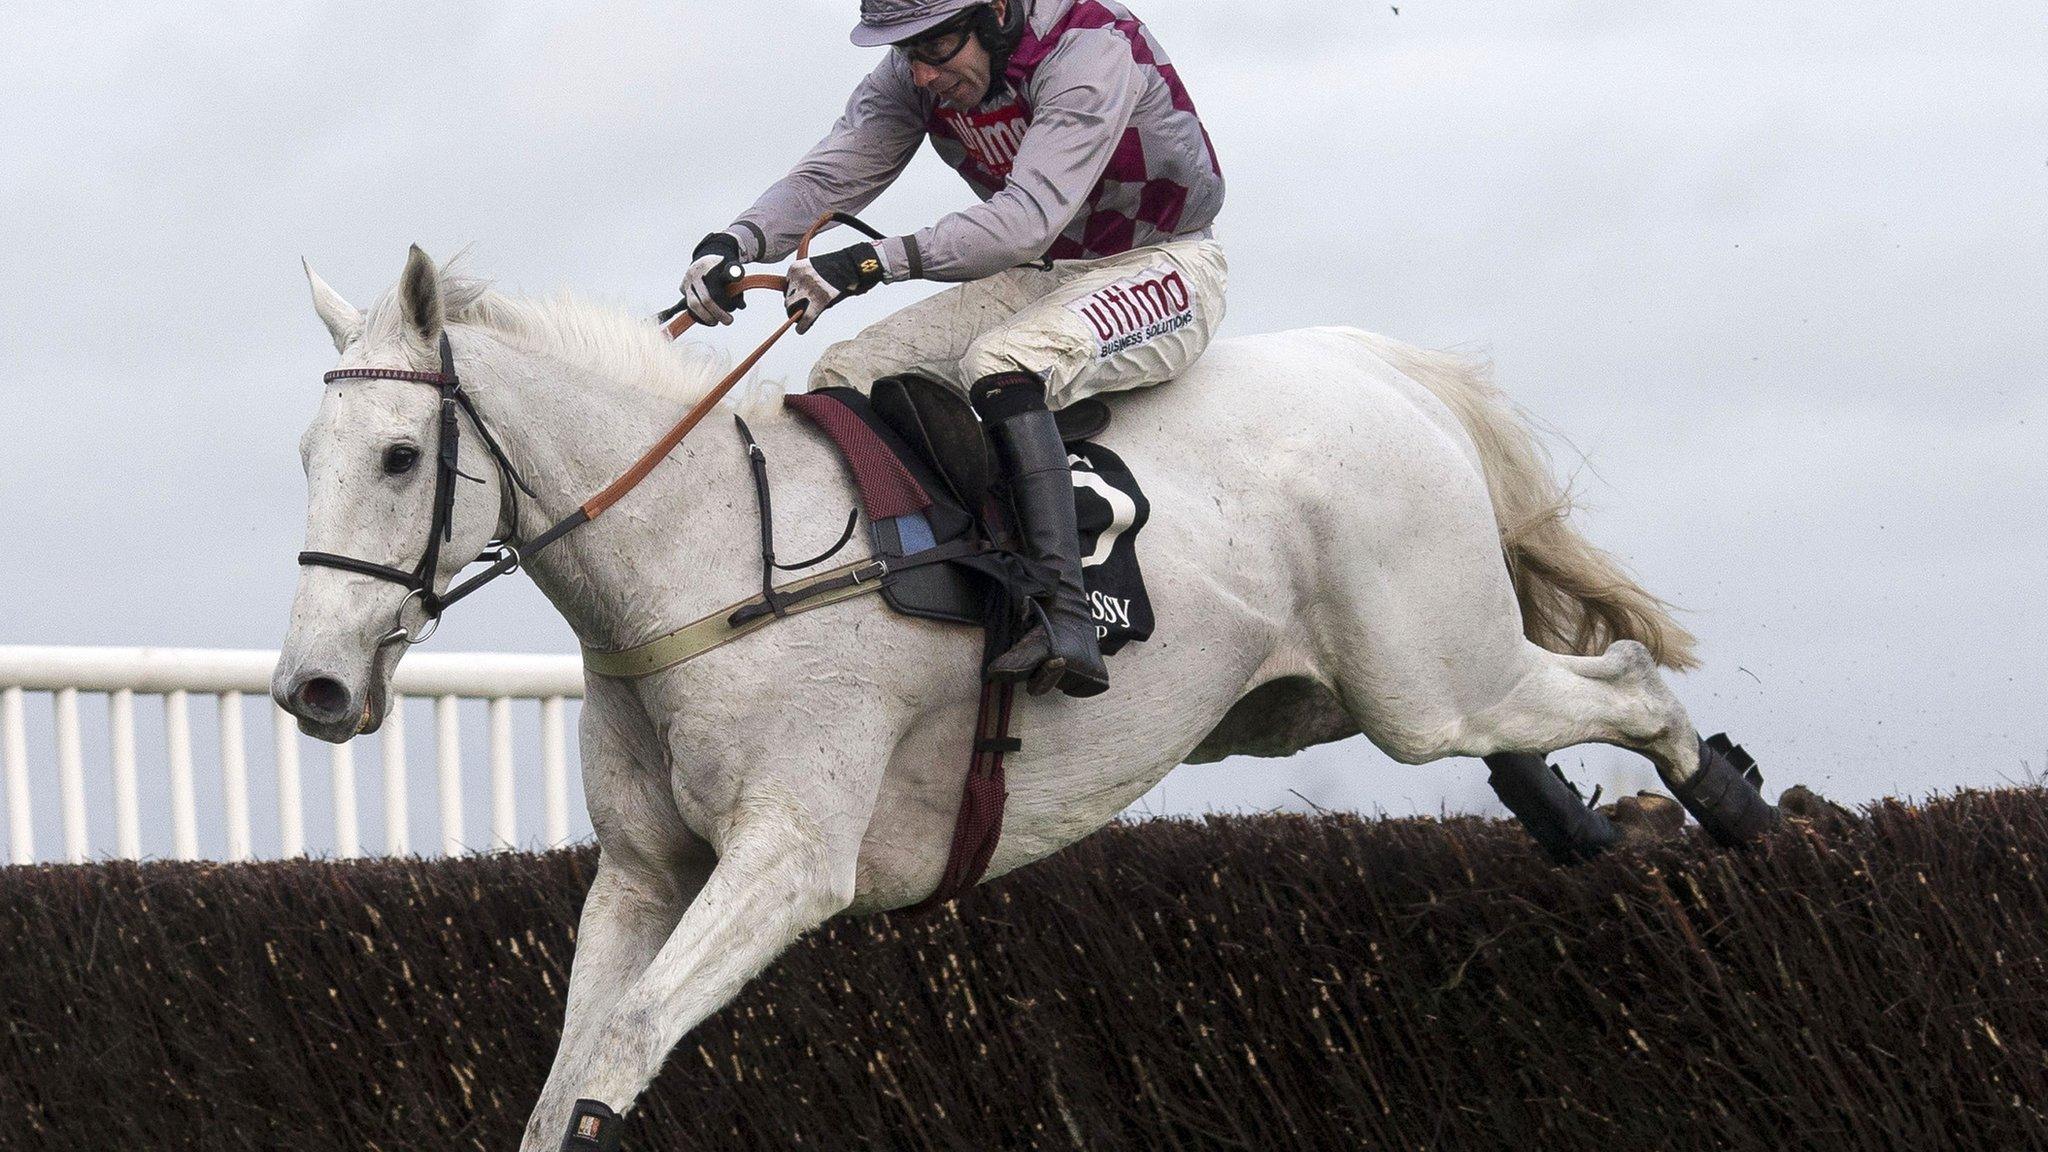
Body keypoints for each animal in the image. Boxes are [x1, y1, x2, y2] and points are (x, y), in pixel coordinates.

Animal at [276, 247, 1728, 1139]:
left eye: (400, 455)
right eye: (307, 455)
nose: (312, 686)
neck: (709, 561)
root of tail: (1377, 365)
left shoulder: (790, 860)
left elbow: (623, 1047)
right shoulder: (642, 874)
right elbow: (560, 1079)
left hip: (1428, 678)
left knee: (1624, 678)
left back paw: (1724, 804)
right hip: (1312, 697)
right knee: (1524, 723)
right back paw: (1582, 824)